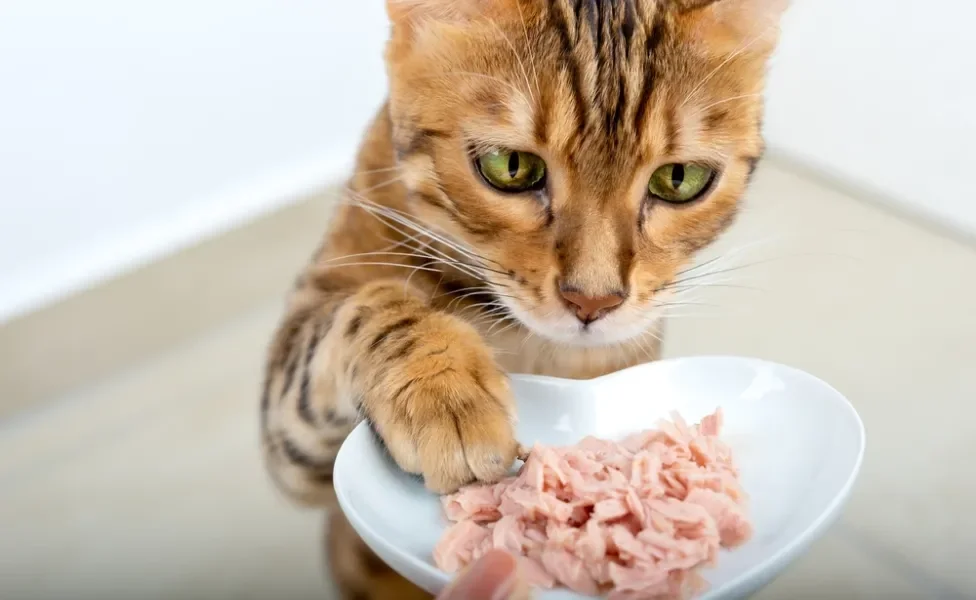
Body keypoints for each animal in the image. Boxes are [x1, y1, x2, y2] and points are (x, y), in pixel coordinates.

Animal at [260, 1, 784, 596]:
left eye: (680, 179)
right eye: (510, 167)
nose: (592, 301)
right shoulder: (293, 448)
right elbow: (367, 307)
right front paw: (444, 388)